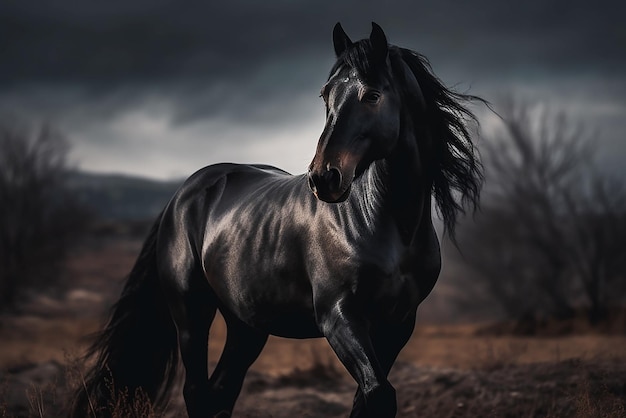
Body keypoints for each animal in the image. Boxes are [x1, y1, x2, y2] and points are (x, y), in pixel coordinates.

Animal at [74, 22, 482, 418]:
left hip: (246, 326)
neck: (383, 224)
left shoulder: (398, 324)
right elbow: (379, 395)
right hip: (191, 314)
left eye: (372, 96)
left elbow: (367, 400)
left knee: (222, 392)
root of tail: (185, 193)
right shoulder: (339, 317)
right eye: (325, 95)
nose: (324, 178)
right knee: (197, 392)